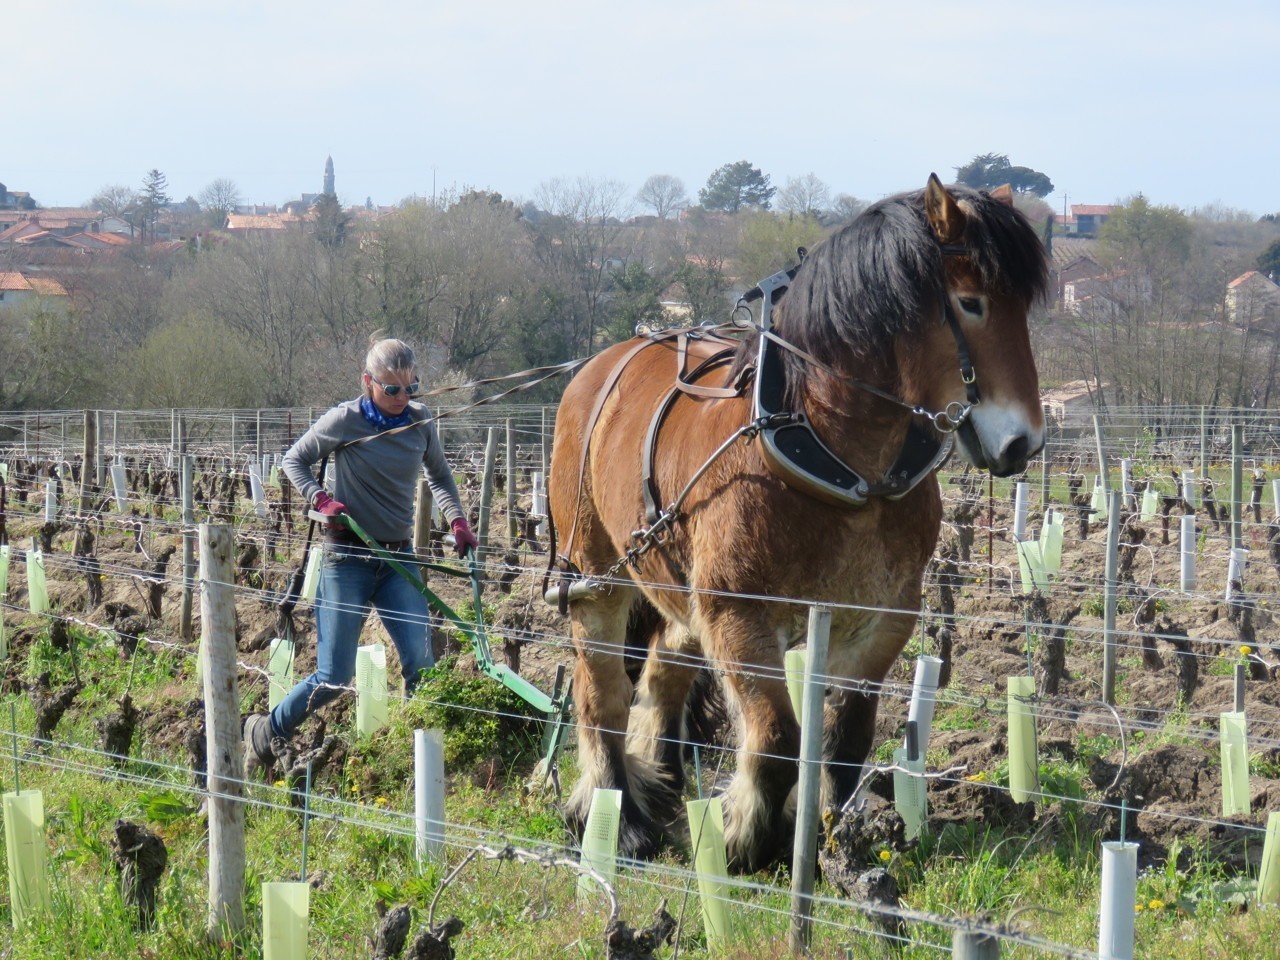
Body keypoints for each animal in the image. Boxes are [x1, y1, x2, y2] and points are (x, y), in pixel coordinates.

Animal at [550, 175, 1049, 870]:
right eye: (970, 302)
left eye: (1023, 306)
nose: (1023, 443)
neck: (845, 464)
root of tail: (603, 363)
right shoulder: (739, 616)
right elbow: (779, 738)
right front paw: (744, 841)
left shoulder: (882, 618)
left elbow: (845, 738)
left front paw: (828, 838)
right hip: (595, 573)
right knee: (600, 693)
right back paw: (618, 816)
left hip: (678, 585)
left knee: (663, 671)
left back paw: (663, 781)